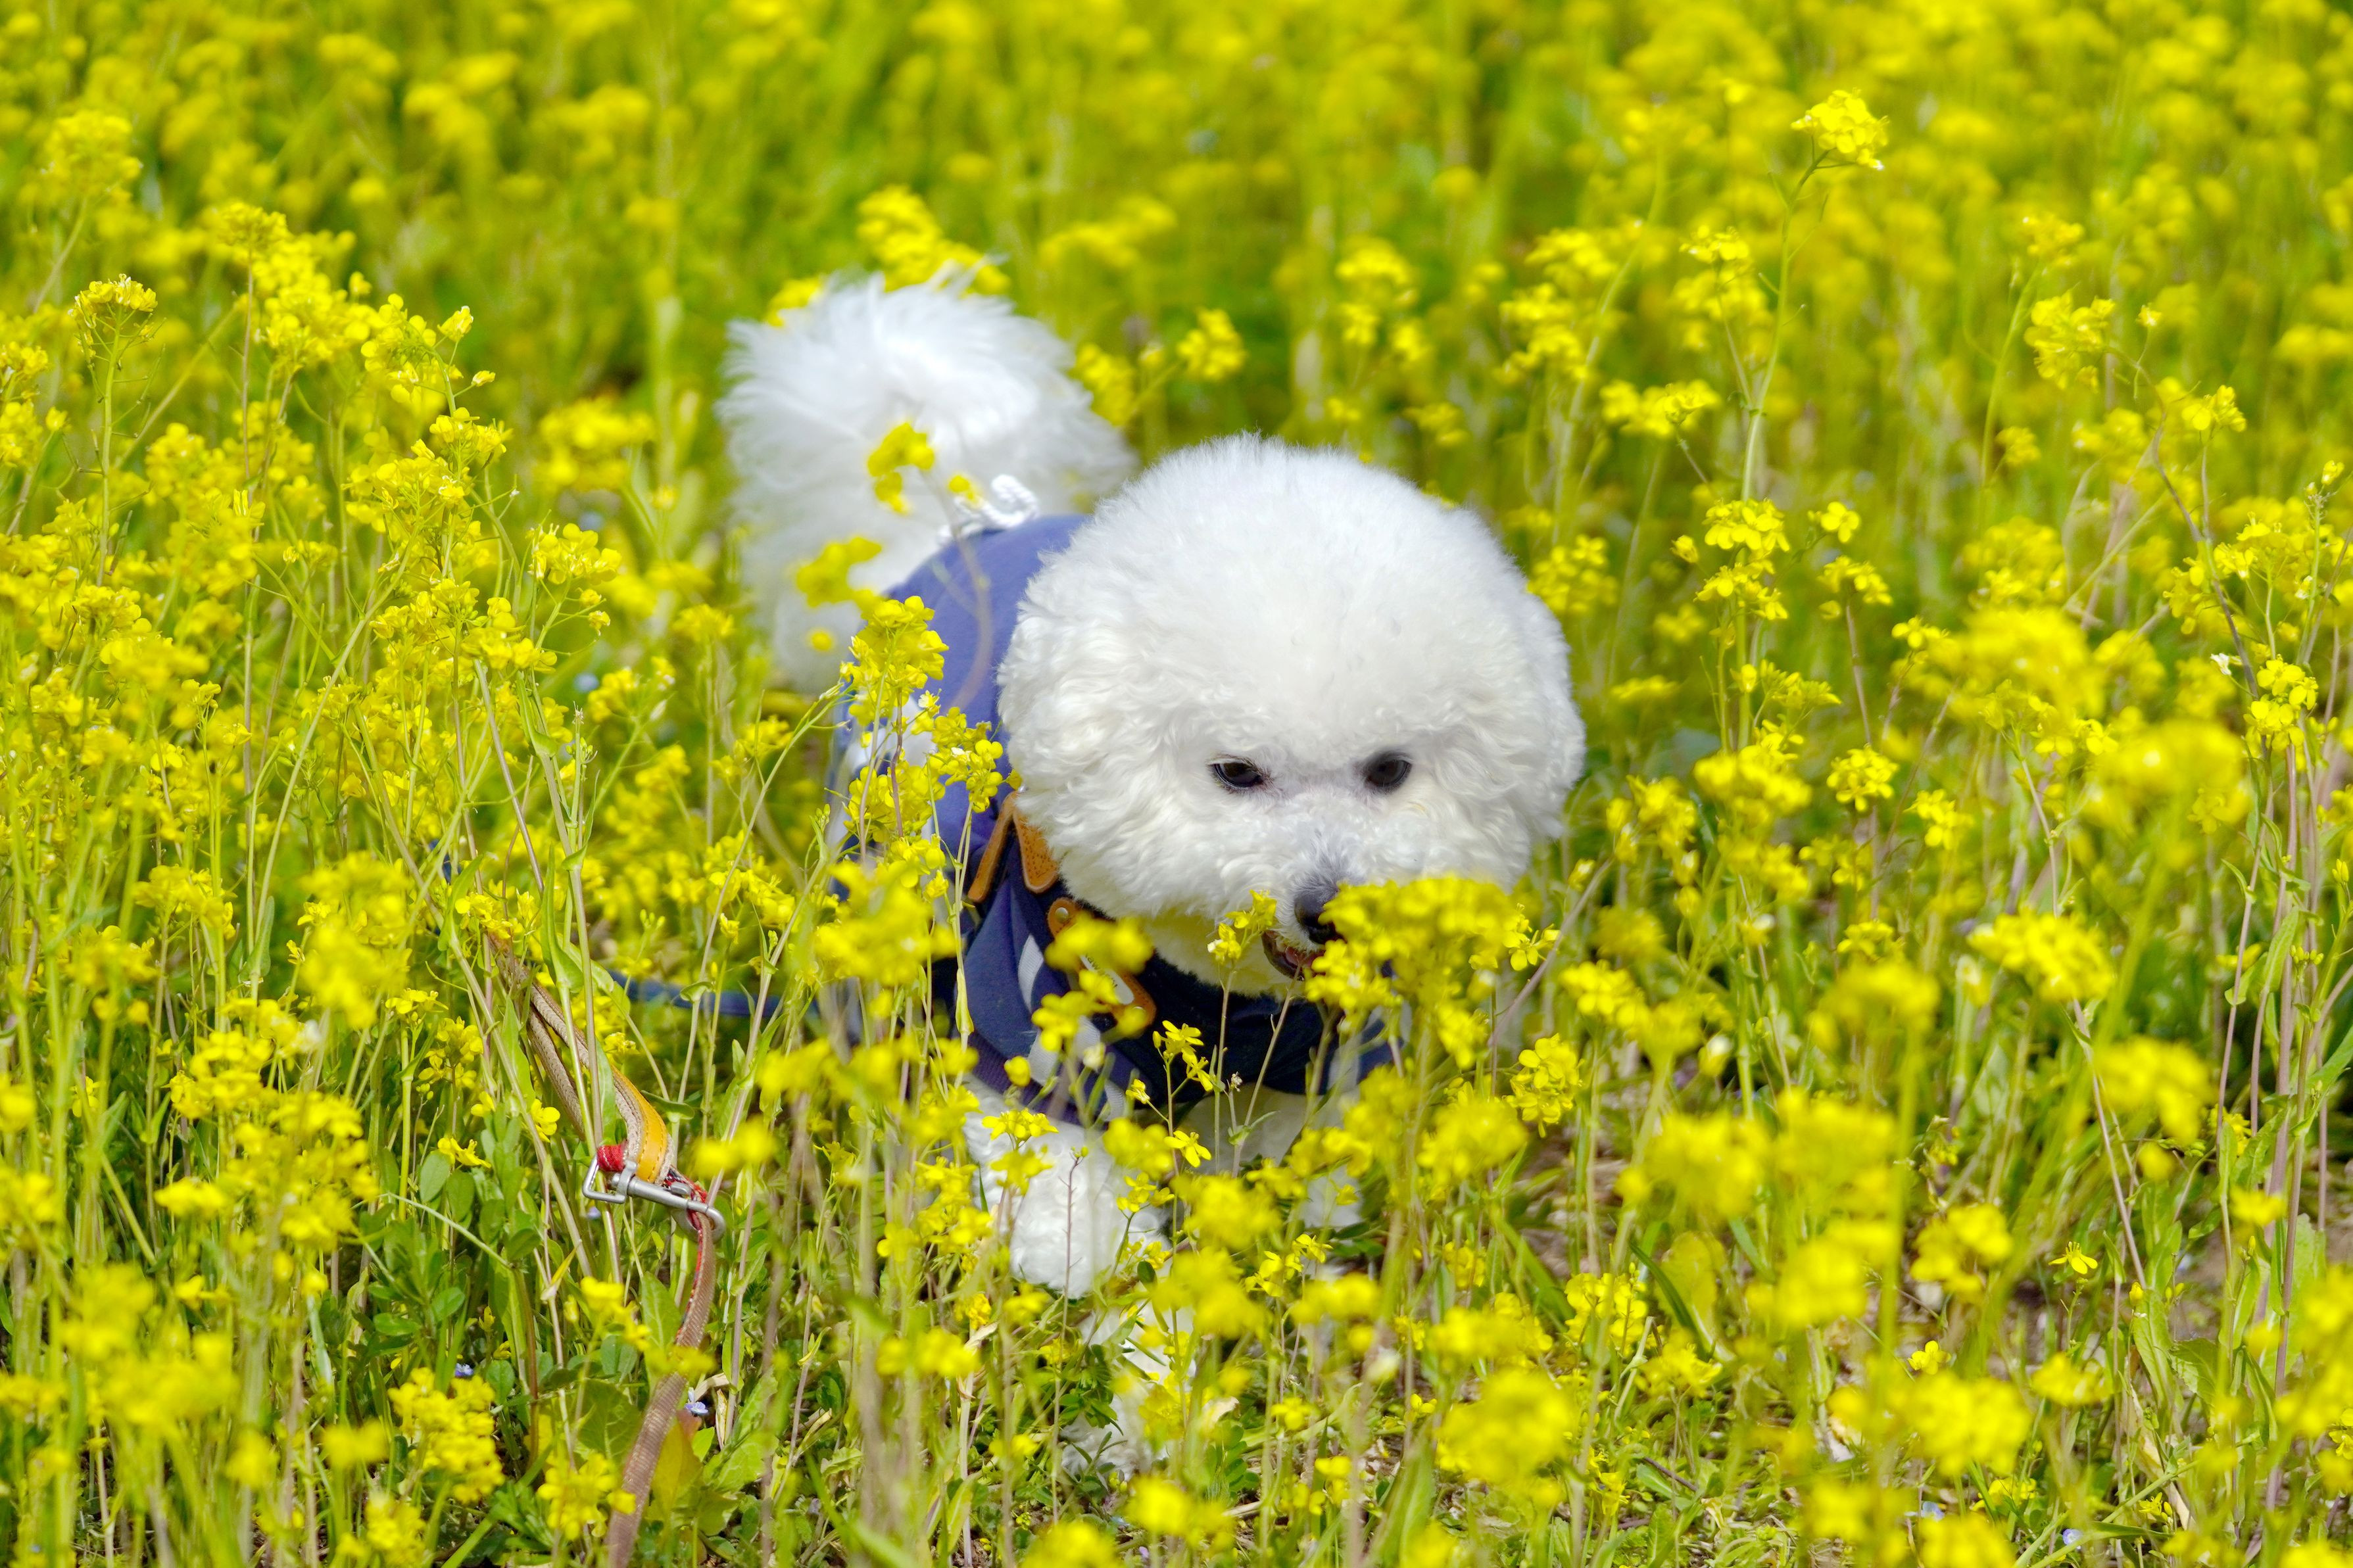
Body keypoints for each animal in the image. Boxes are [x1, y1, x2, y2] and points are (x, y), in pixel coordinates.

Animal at [720, 273, 1584, 1306]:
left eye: (1388, 771)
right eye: (1236, 773)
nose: (1326, 910)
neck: (1229, 1008)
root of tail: (967, 526)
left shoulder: (1314, 1069)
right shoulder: (1031, 1033)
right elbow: (1069, 1204)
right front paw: (1105, 1296)